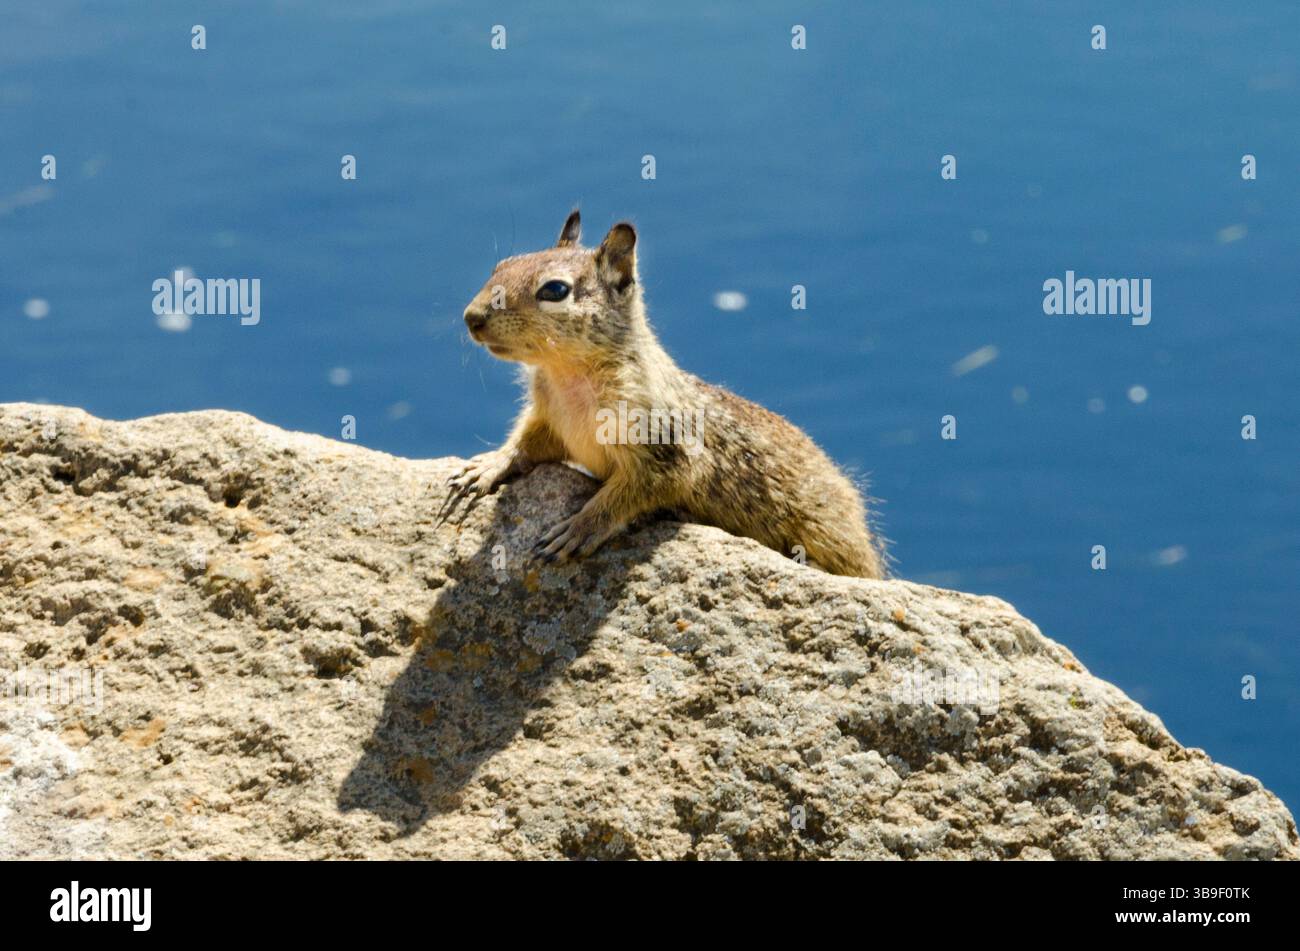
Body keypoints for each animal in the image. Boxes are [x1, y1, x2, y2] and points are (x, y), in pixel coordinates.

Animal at [440, 210, 886, 578]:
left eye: (554, 291)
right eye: (500, 266)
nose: (471, 318)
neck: (568, 376)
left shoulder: (662, 448)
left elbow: (632, 492)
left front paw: (580, 527)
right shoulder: (548, 418)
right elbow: (526, 443)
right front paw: (487, 465)